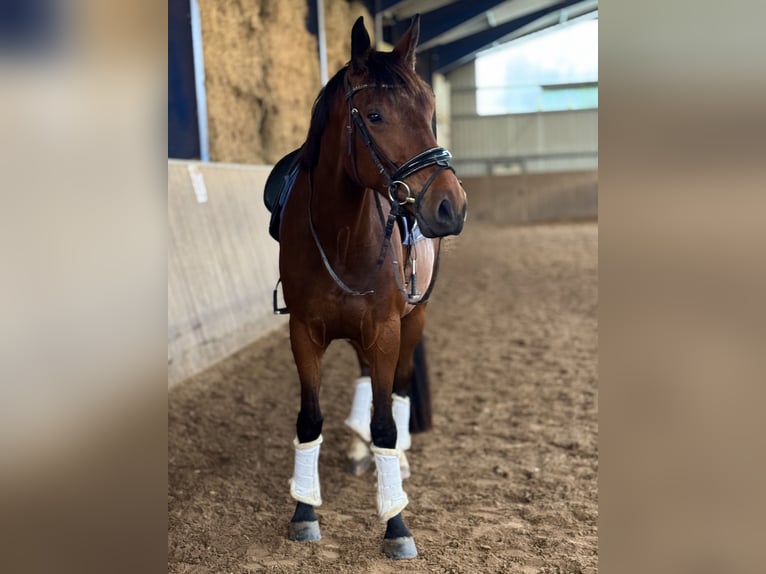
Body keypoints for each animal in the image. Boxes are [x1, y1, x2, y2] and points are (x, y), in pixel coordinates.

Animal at [267, 15, 467, 559]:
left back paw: (397, 464)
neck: (340, 236)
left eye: (430, 111)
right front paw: (304, 511)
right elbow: (308, 420)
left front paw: (395, 522)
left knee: (396, 392)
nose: (451, 206)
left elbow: (387, 423)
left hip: (412, 322)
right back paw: (358, 448)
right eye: (374, 115)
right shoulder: (304, 333)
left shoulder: (386, 330)